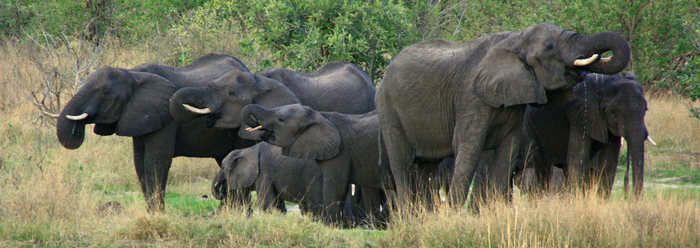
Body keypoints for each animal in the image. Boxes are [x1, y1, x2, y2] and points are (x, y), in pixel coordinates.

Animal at [56, 53, 254, 210]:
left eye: (105, 92)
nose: (80, 126)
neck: (132, 74)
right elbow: (139, 163)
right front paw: (152, 213)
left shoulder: (165, 117)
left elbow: (155, 162)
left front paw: (158, 214)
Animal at [374, 22, 632, 210]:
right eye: (550, 47)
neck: (515, 39)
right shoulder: (470, 96)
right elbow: (468, 145)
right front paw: (453, 218)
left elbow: (508, 149)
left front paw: (494, 211)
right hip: (388, 108)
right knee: (402, 162)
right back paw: (411, 217)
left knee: (427, 166)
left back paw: (426, 218)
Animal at [516, 71, 652, 198]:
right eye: (613, 111)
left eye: (646, 109)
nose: (630, 198)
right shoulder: (581, 113)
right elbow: (578, 161)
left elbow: (608, 164)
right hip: (529, 125)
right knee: (541, 166)